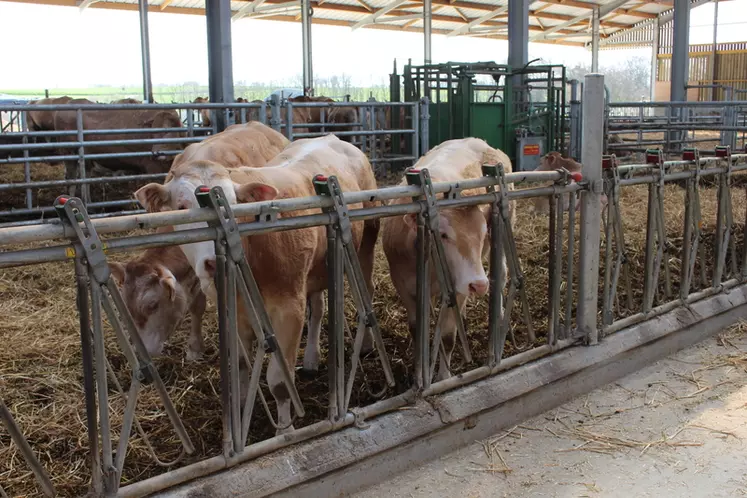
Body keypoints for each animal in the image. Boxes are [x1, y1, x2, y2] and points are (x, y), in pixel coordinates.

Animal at [134, 134, 380, 434]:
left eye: (234, 205)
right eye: (181, 208)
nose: (213, 263)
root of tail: (331, 137)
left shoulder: (289, 308)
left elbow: (279, 380)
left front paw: (284, 430)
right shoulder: (235, 312)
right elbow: (240, 366)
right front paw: (241, 412)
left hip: (366, 240)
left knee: (365, 291)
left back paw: (366, 344)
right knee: (319, 308)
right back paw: (311, 359)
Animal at [382, 138, 516, 380]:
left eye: (484, 233)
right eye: (443, 235)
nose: (478, 285)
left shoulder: (459, 287)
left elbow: (447, 337)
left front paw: (443, 377)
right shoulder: (404, 285)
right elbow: (418, 330)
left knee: (501, 274)